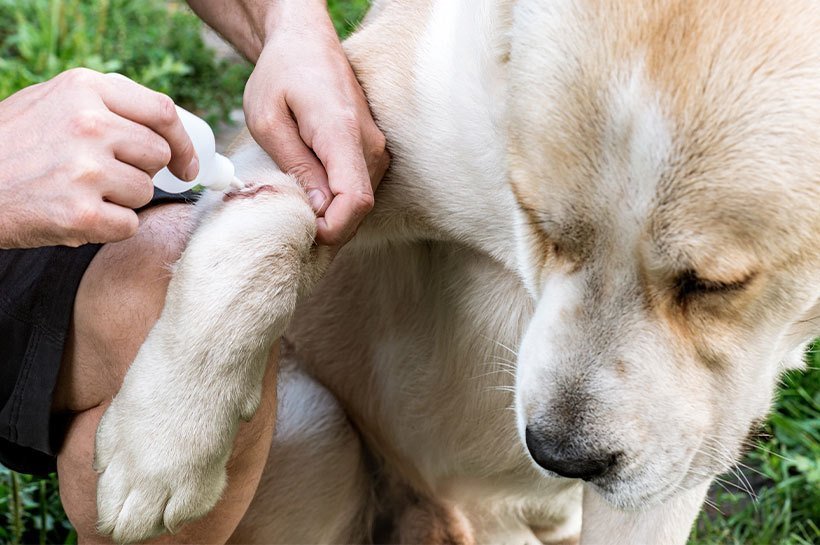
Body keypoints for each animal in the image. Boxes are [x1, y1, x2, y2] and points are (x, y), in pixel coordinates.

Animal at [91, 0, 820, 540]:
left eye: (715, 286)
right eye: (541, 224)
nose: (559, 456)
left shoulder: (675, 457)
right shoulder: (328, 128)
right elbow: (258, 233)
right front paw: (160, 446)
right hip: (312, 420)